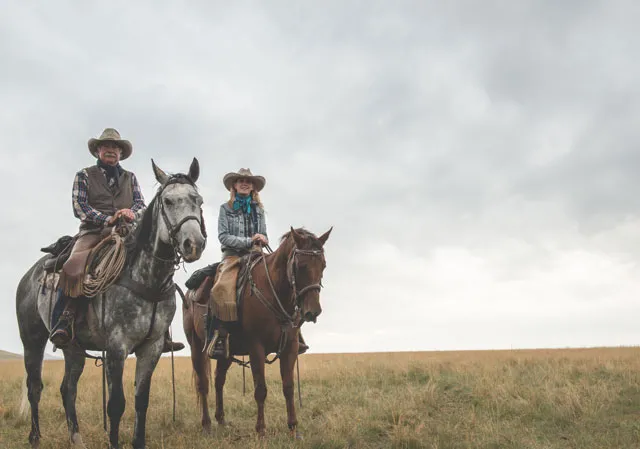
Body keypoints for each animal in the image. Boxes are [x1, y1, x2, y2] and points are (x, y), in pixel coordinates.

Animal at [15, 159, 205, 446]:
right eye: (168, 201)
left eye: (198, 200)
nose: (193, 244)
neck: (146, 278)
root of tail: (29, 275)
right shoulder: (117, 347)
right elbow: (116, 404)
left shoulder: (151, 348)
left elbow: (141, 401)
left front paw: (138, 442)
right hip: (32, 340)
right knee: (35, 387)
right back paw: (35, 437)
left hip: (72, 348)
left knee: (67, 389)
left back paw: (76, 439)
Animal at [181, 226, 328, 436]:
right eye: (300, 265)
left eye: (323, 265)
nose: (312, 311)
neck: (274, 290)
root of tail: (190, 293)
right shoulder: (256, 347)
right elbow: (260, 389)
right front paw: (261, 430)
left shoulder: (290, 347)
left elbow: (288, 387)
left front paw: (293, 428)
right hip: (196, 345)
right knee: (203, 384)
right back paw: (207, 425)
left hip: (226, 352)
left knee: (219, 380)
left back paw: (221, 420)